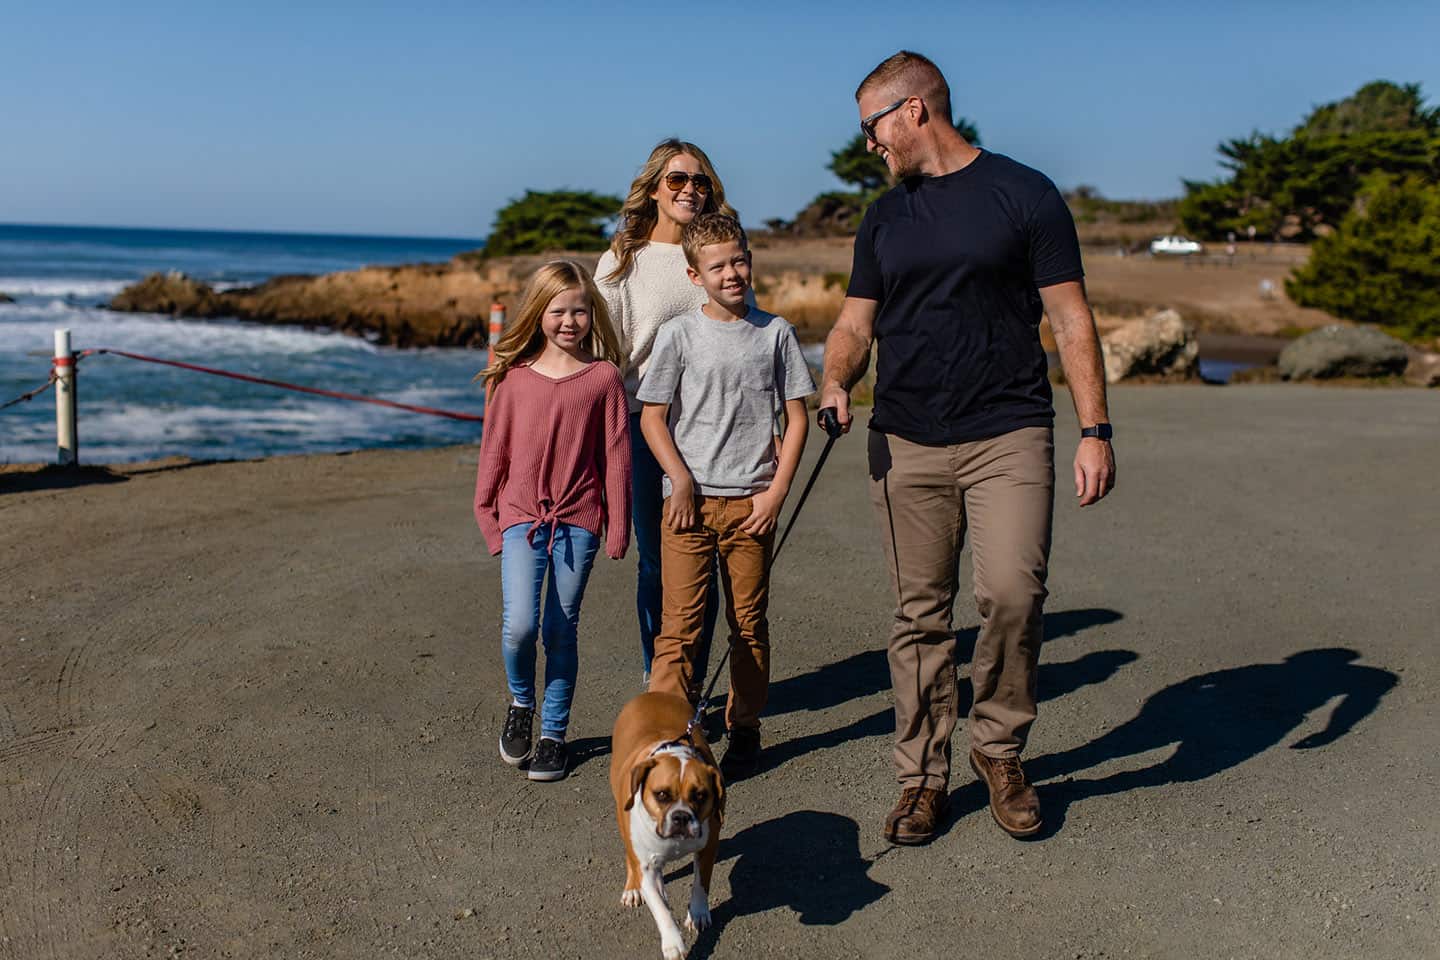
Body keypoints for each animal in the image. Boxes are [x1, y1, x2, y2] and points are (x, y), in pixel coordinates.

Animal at [607, 693, 725, 955]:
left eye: (700, 795)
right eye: (661, 794)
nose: (681, 816)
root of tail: (652, 694)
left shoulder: (708, 849)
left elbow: (700, 884)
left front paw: (698, 913)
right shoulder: (646, 869)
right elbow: (661, 909)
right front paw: (673, 943)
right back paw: (633, 888)